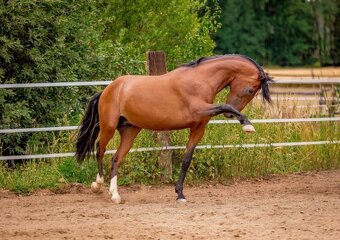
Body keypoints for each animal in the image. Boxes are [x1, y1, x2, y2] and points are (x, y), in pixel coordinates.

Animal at [75, 54, 272, 202]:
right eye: (251, 90)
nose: (230, 118)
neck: (199, 80)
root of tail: (108, 89)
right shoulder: (198, 109)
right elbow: (225, 105)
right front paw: (247, 125)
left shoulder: (198, 128)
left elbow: (186, 160)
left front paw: (180, 194)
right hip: (108, 127)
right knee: (100, 150)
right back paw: (97, 185)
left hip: (130, 131)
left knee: (116, 158)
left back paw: (115, 195)